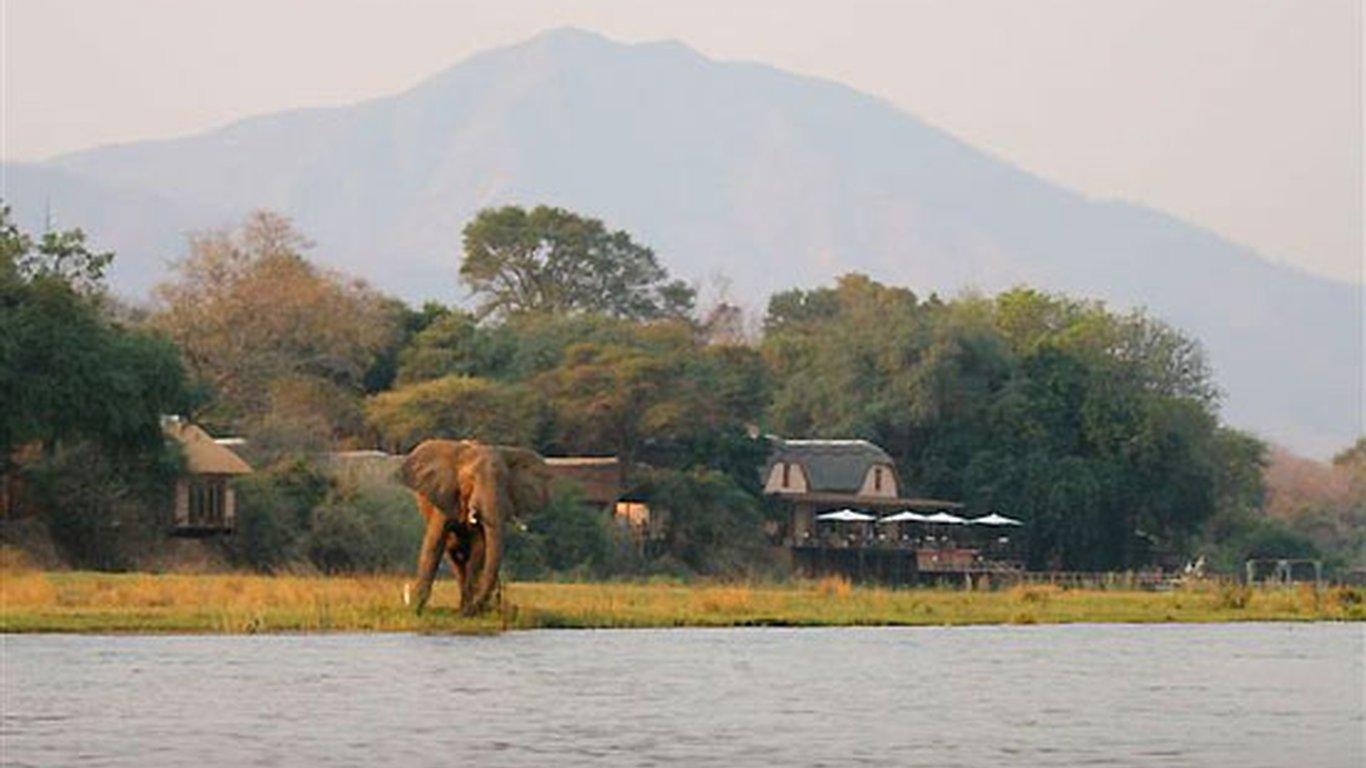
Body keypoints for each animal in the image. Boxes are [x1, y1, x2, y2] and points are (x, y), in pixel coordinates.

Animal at [396, 440, 549, 612]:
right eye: (471, 478)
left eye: (505, 482)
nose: (479, 606)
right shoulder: (445, 496)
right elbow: (435, 542)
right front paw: (416, 608)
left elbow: (479, 547)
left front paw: (470, 611)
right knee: (454, 557)